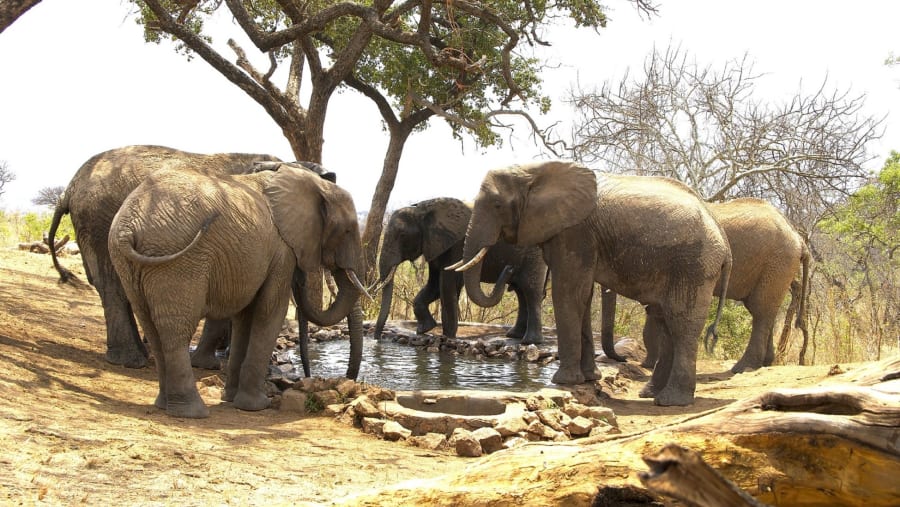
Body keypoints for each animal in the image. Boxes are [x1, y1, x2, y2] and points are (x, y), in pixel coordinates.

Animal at [108, 164, 366, 418]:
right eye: (348, 231)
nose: (348, 380)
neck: (314, 183)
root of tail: (128, 228)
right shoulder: (281, 251)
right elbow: (270, 311)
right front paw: (256, 406)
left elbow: (245, 317)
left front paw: (232, 400)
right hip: (177, 260)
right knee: (176, 330)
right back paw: (192, 412)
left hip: (128, 262)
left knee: (151, 326)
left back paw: (164, 405)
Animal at [372, 197, 548, 343]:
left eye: (402, 235)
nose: (378, 339)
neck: (422, 209)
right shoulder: (435, 244)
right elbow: (434, 285)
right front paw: (424, 330)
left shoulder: (456, 245)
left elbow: (447, 283)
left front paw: (447, 337)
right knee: (521, 292)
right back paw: (514, 335)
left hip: (534, 255)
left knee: (530, 290)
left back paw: (529, 341)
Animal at [456, 161, 731, 406]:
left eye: (497, 205)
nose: (509, 269)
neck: (535, 169)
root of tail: (724, 242)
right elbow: (582, 296)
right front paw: (588, 378)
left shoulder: (575, 232)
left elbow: (567, 292)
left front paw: (563, 381)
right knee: (667, 322)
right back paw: (651, 395)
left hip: (694, 266)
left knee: (681, 324)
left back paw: (671, 402)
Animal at [626, 198, 810, 373]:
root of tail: (799, 239)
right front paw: (648, 365)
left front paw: (648, 366)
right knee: (764, 309)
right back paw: (764, 364)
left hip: (777, 263)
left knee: (761, 310)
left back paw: (742, 368)